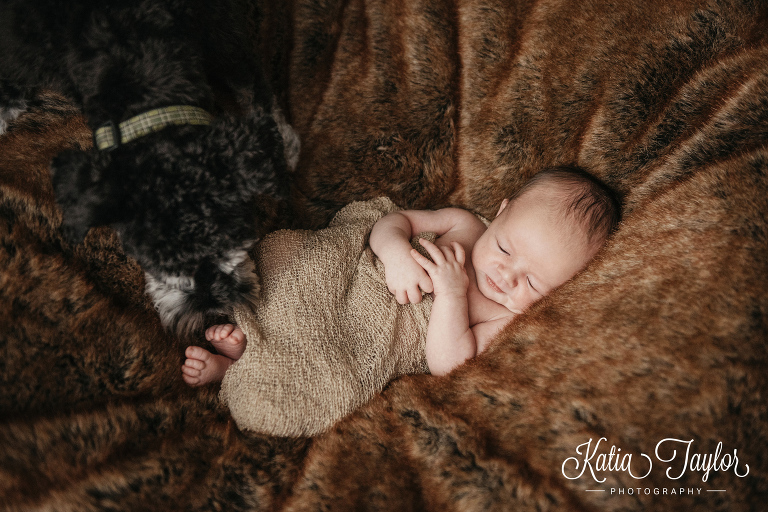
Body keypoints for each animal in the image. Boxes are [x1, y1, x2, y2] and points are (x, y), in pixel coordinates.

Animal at [0, 0, 298, 332]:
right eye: (155, 259)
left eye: (230, 240)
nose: (209, 307)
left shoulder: (222, 29)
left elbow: (253, 86)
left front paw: (282, 141)